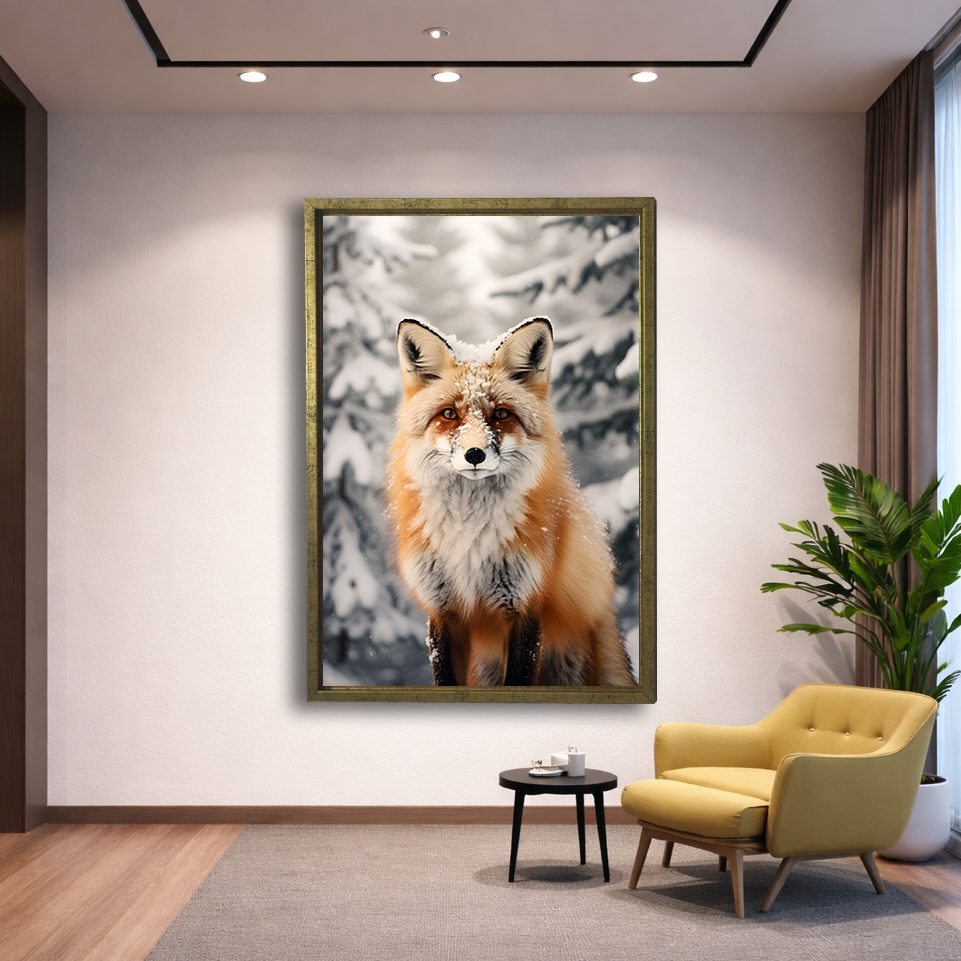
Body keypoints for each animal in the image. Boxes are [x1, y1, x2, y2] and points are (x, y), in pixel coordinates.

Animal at [386, 316, 635, 687]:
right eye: (450, 414)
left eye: (501, 414)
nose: (474, 454)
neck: (469, 534)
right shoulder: (442, 609)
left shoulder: (525, 606)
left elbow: (518, 676)